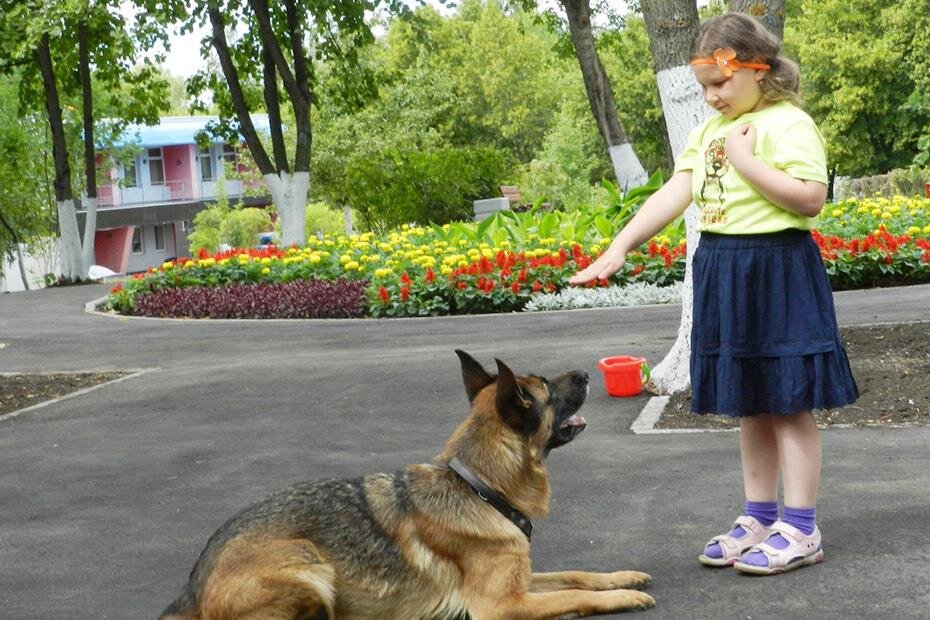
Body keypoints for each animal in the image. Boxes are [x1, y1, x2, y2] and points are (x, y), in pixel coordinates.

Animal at [161, 352, 652, 616]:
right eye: (546, 388)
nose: (586, 374)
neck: (479, 488)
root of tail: (191, 591)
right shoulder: (503, 605)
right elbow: (574, 594)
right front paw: (624, 596)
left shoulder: (521, 583)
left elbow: (578, 575)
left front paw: (621, 578)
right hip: (309, 567)